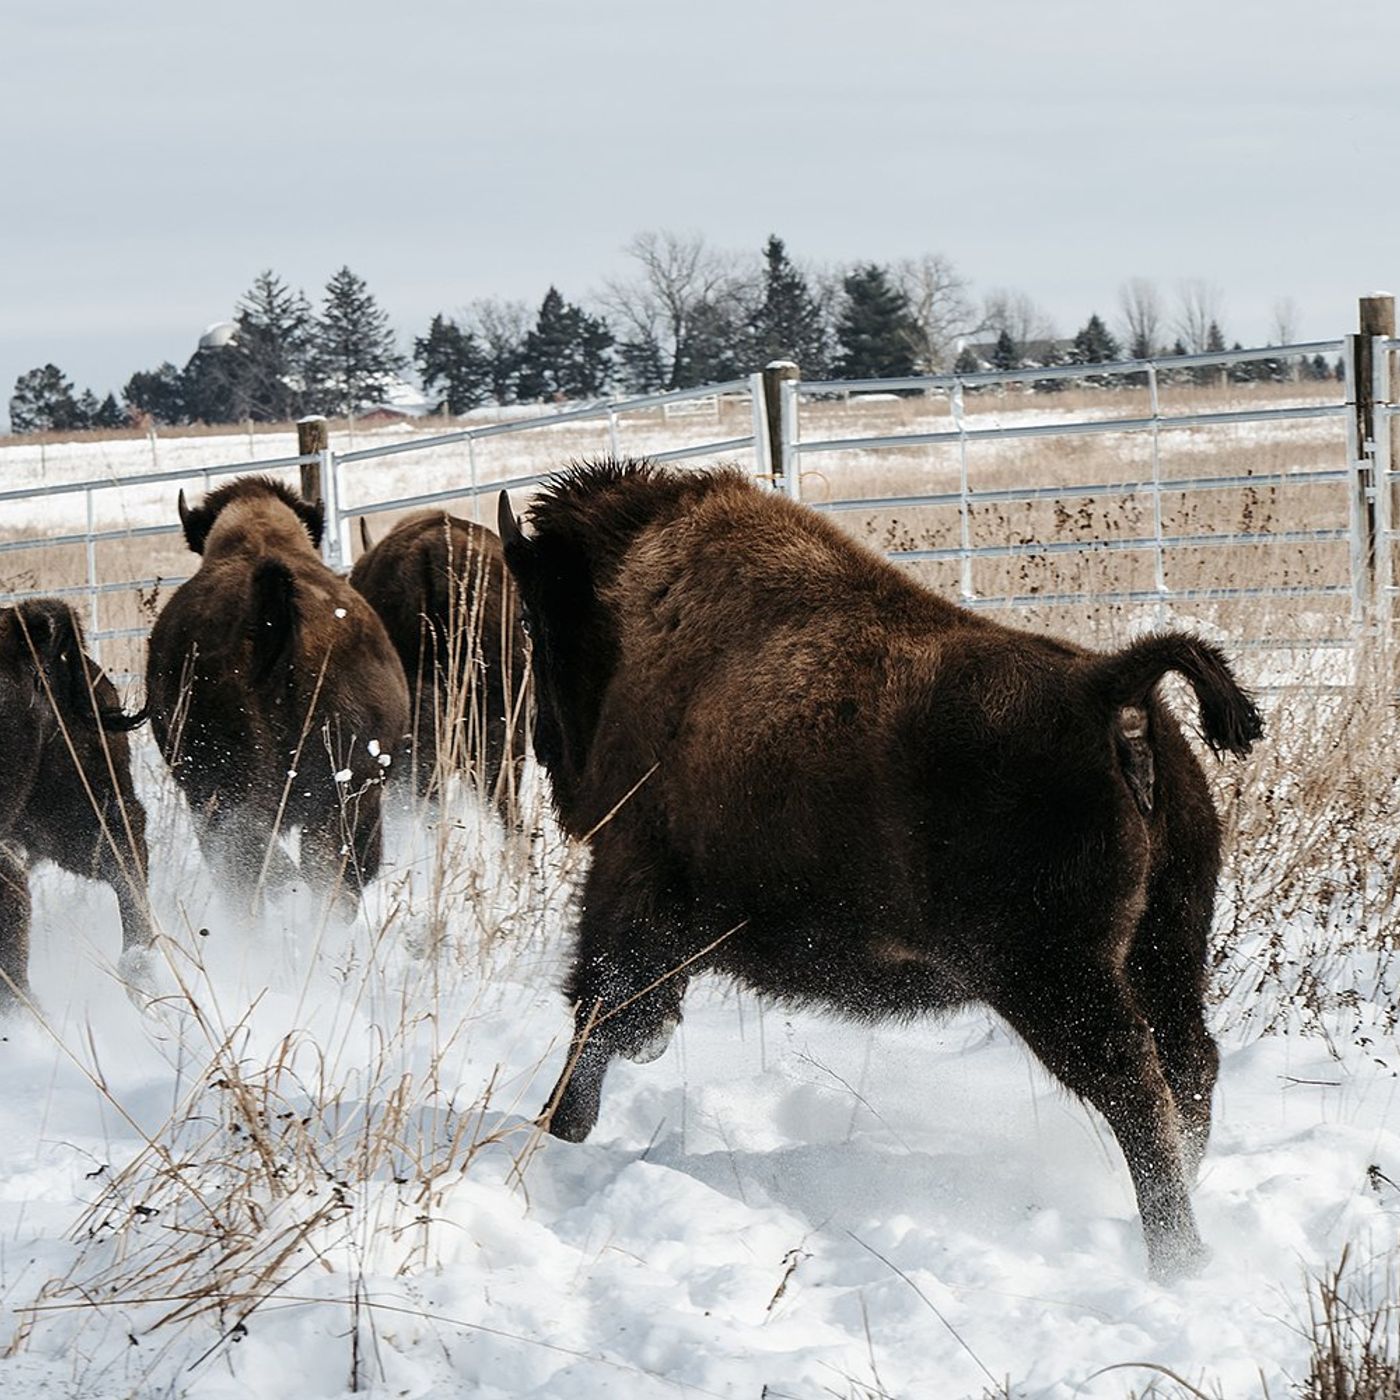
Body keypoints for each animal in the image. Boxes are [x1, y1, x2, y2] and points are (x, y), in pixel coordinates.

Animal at [498, 458, 1263, 1281]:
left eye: (534, 620)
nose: (545, 750)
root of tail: (1109, 687)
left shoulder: (629, 879)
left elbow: (596, 1009)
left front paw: (558, 1130)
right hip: (1165, 948)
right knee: (1188, 1067)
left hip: (1055, 979)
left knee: (1136, 1090)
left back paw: (1175, 1259)